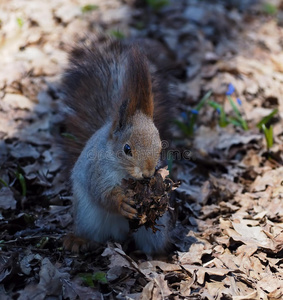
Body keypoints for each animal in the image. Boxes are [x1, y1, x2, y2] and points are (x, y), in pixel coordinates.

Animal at [60, 37, 174, 253]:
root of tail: (120, 235)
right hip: (87, 217)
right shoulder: (97, 171)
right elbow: (103, 195)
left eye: (160, 147)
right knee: (91, 234)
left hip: (155, 231)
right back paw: (79, 240)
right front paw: (122, 203)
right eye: (127, 149)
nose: (148, 175)